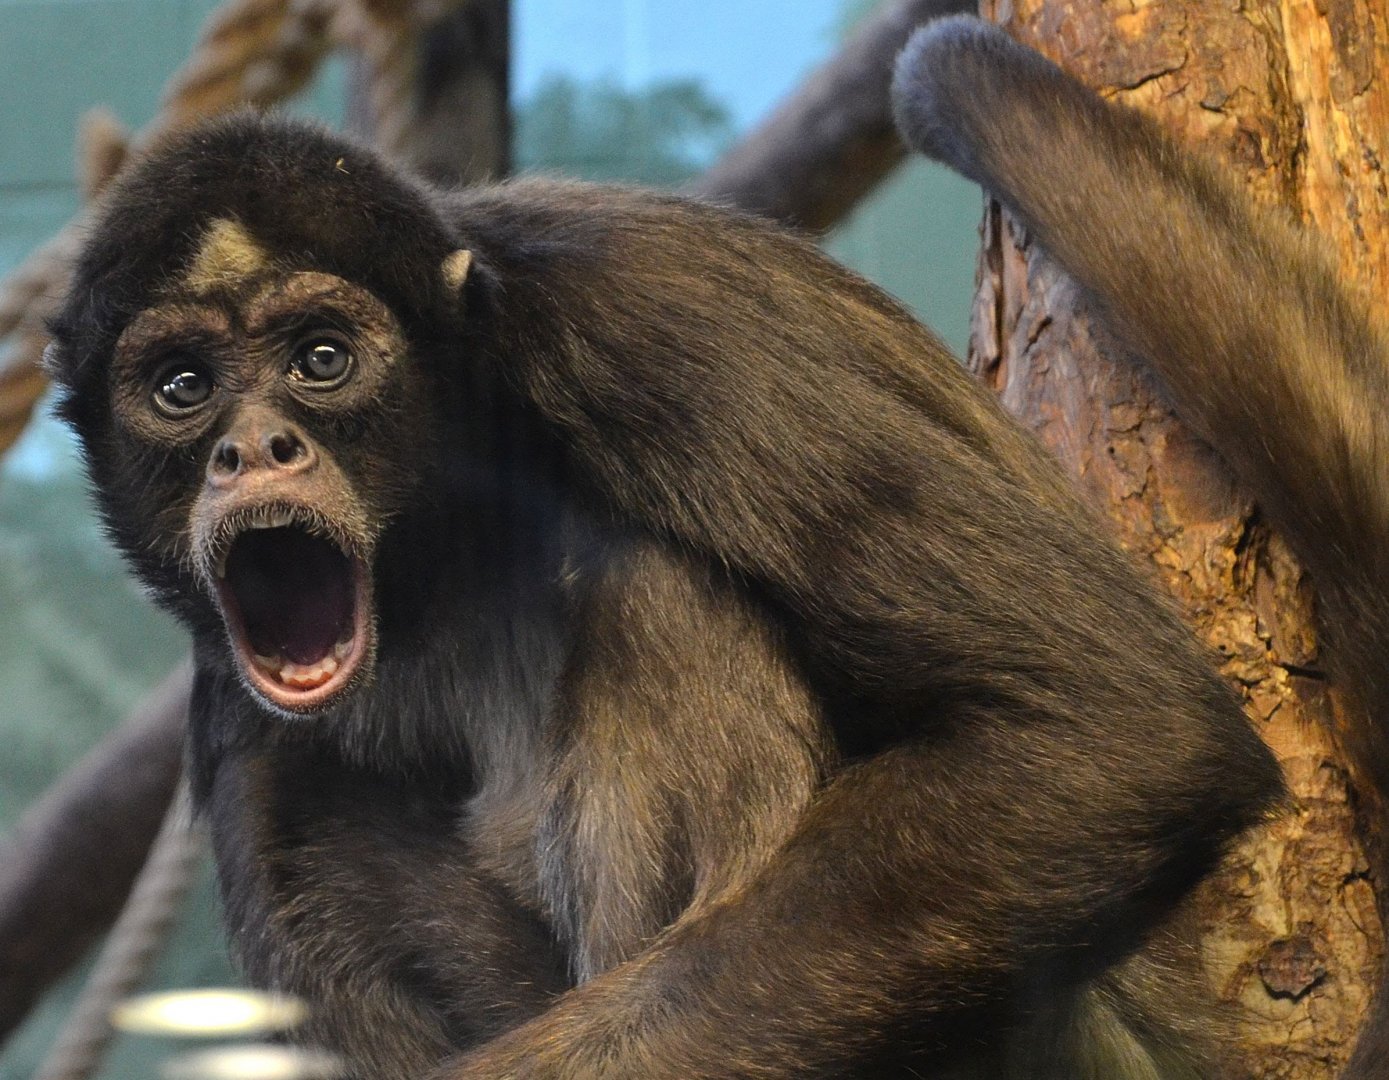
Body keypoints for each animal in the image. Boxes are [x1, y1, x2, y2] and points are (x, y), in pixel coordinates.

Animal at [43, 110, 1283, 1078]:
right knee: (289, 788)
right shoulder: (228, 683)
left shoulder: (645, 314)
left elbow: (1122, 732)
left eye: (321, 359)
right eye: (183, 387)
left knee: (657, 595)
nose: (253, 448)